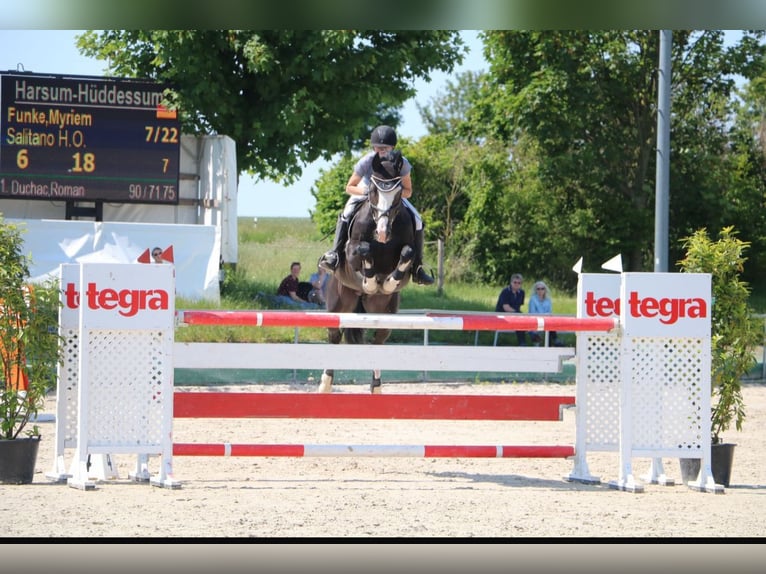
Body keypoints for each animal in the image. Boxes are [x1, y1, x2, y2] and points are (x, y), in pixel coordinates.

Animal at [316, 152, 416, 396]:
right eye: (372, 191)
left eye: (398, 193)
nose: (382, 233)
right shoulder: (353, 253)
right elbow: (363, 249)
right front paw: (371, 282)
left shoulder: (407, 256)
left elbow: (407, 254)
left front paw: (387, 283)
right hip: (339, 306)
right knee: (334, 337)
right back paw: (325, 385)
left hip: (383, 313)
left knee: (378, 341)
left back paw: (376, 387)